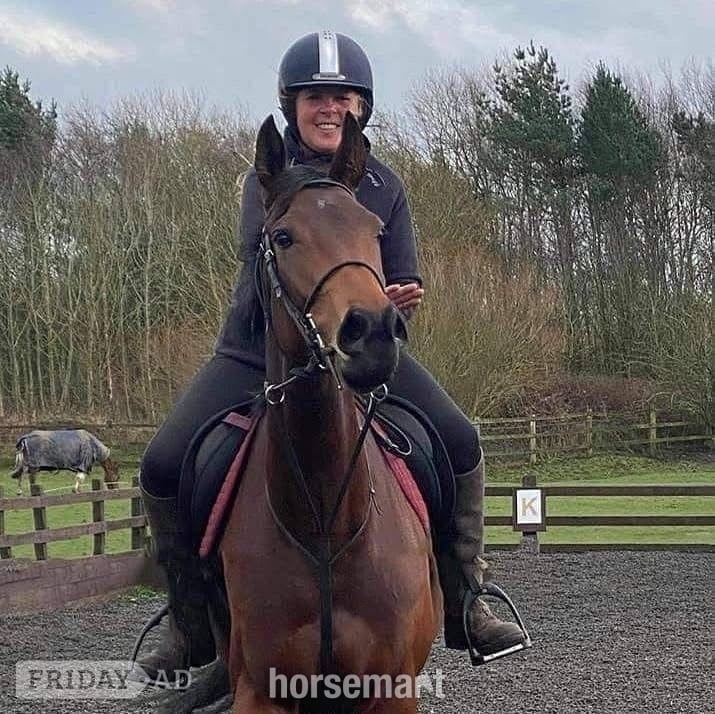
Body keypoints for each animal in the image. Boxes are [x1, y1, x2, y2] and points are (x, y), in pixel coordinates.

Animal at [216, 113, 442, 713]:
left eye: (375, 231)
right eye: (283, 237)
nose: (373, 334)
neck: (323, 521)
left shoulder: (391, 688)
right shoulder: (261, 692)